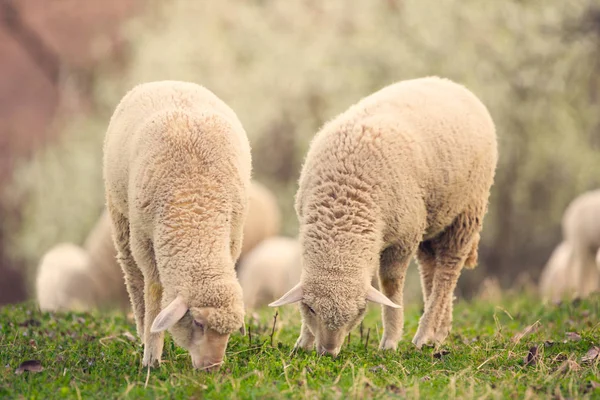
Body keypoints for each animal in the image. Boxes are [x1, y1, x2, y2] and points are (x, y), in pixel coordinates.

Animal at [104, 79, 250, 370]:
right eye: (197, 322)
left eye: (228, 332)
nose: (211, 368)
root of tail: (167, 81)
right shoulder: (146, 243)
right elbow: (154, 292)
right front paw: (151, 355)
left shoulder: (233, 237)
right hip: (120, 215)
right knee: (133, 279)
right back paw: (141, 331)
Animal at [270, 76, 496, 354]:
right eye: (310, 308)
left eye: (360, 311)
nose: (328, 353)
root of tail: (449, 83)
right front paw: (303, 342)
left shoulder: (403, 239)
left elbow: (390, 286)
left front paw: (390, 340)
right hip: (432, 217)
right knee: (431, 269)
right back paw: (439, 332)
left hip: (466, 211)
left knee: (448, 271)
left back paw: (424, 334)